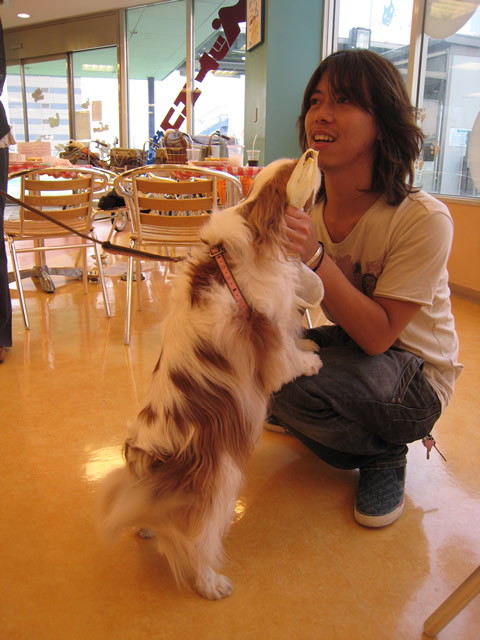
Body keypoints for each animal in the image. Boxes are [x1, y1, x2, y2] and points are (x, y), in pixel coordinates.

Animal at [97, 156, 323, 600]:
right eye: (299, 168)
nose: (314, 155)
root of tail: (150, 464)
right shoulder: (269, 331)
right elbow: (288, 359)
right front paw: (311, 361)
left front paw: (309, 346)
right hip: (220, 482)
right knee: (193, 544)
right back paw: (210, 583)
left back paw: (148, 528)